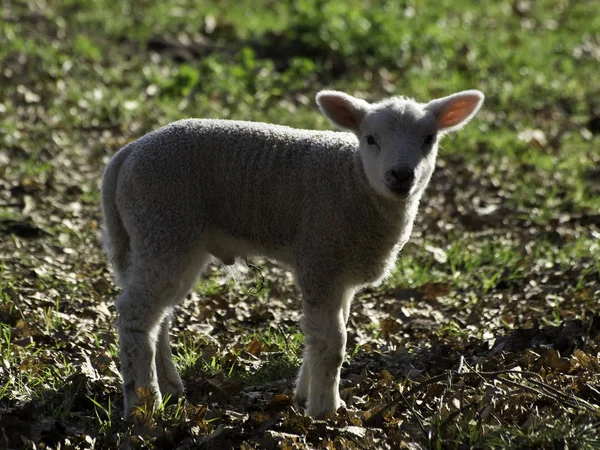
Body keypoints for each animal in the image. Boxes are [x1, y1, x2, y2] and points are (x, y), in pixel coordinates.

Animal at [102, 89, 482, 418]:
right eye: (371, 139)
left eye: (429, 139)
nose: (401, 175)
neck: (354, 180)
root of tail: (126, 154)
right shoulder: (319, 256)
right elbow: (332, 342)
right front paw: (325, 410)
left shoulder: (338, 272)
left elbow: (320, 335)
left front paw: (304, 395)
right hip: (164, 223)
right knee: (135, 314)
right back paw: (143, 404)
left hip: (167, 239)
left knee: (159, 315)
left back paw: (169, 386)